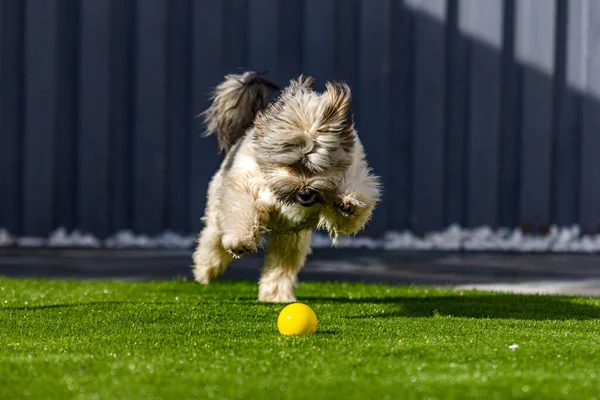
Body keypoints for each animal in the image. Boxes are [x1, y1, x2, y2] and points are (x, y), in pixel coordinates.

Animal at [191, 72, 380, 304]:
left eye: (321, 168)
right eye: (290, 166)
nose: (306, 193)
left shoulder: (354, 174)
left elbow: (350, 208)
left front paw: (347, 203)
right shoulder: (246, 184)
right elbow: (243, 208)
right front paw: (240, 241)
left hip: (289, 238)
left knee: (281, 265)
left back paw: (276, 296)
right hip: (219, 213)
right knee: (212, 239)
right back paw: (206, 270)